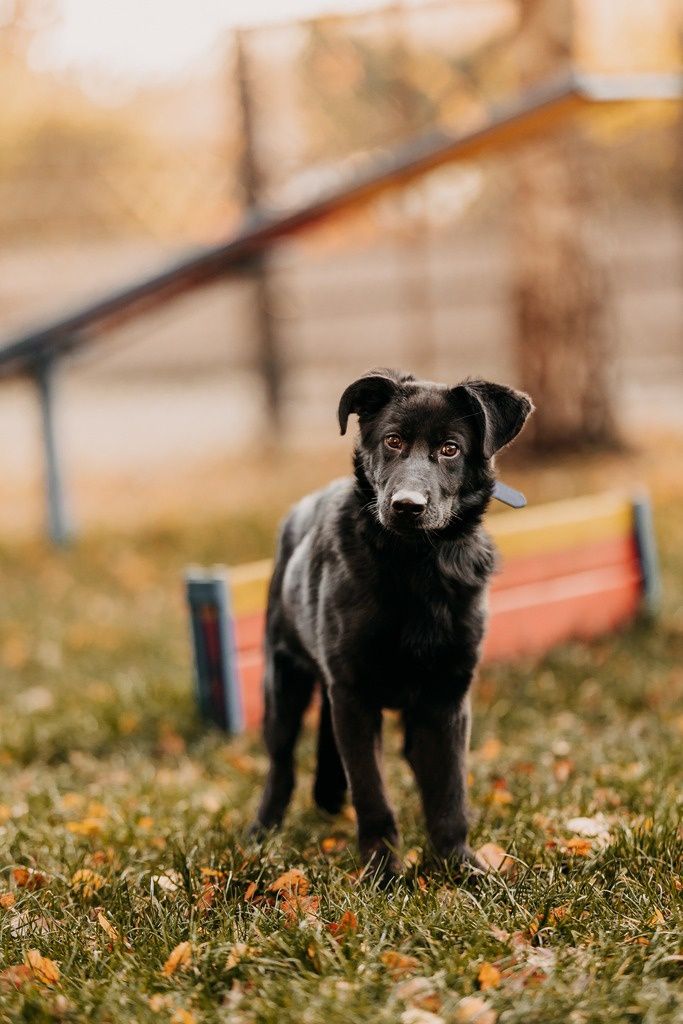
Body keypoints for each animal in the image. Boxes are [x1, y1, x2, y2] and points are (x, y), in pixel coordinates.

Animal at [254, 368, 532, 872]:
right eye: (393, 441)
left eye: (450, 448)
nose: (406, 506)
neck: (415, 565)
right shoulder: (354, 693)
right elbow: (372, 792)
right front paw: (382, 871)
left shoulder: (445, 699)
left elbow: (448, 793)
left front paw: (459, 867)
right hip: (283, 683)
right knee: (281, 765)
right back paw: (260, 834)